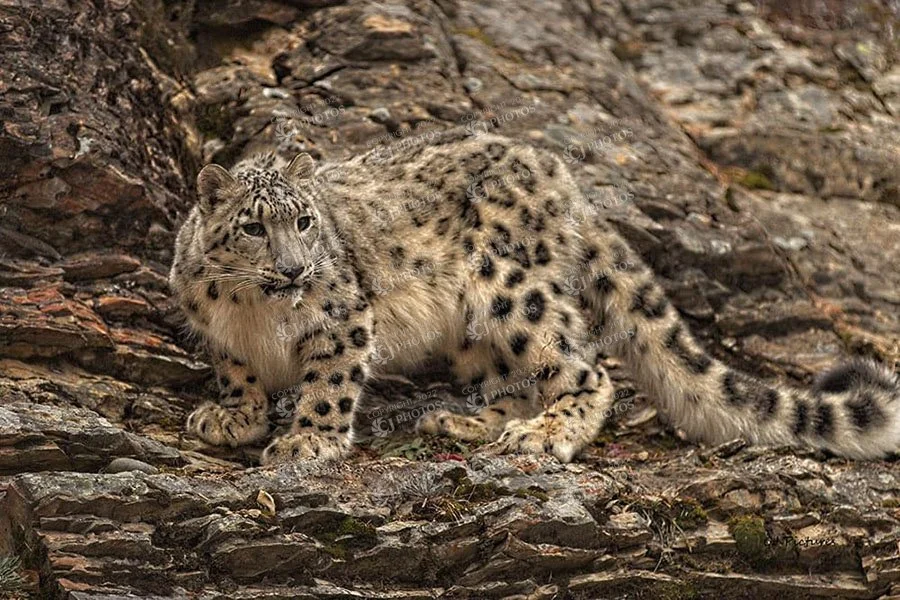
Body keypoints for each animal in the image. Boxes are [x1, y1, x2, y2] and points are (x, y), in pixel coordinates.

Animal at [169, 128, 900, 465]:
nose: (295, 272)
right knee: (516, 378)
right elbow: (236, 371)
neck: (256, 311)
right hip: (473, 333)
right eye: (254, 227)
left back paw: (546, 435)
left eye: (304, 222)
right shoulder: (217, 331)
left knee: (585, 369)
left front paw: (305, 443)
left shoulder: (343, 319)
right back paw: (468, 421)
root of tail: (560, 177)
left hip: (509, 289)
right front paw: (232, 416)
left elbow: (329, 384)